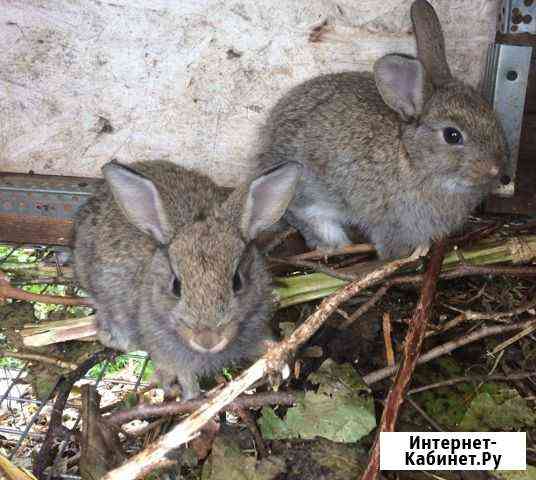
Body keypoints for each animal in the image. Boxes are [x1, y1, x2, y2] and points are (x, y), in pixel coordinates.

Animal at [74, 159, 302, 400]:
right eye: (176, 286)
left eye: (237, 281)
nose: (208, 340)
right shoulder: (169, 353)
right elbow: (185, 377)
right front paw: (193, 397)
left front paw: (283, 368)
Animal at [254, 0, 506, 258]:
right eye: (452, 135)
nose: (496, 169)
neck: (411, 158)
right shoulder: (392, 221)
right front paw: (402, 256)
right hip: (311, 192)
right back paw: (337, 244)